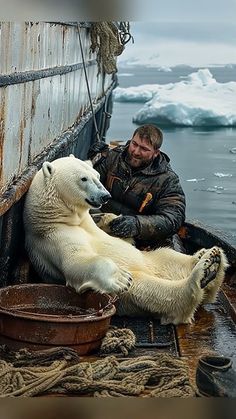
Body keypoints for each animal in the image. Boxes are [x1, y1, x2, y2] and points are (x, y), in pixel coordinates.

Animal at [23, 156, 229, 326]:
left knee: (167, 258)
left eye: (97, 175)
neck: (59, 216)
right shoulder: (53, 238)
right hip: (129, 295)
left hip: (152, 261)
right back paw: (203, 273)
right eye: (83, 178)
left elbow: (120, 236)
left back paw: (209, 257)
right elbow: (75, 263)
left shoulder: (87, 223)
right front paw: (120, 277)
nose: (105, 195)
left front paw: (112, 220)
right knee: (148, 288)